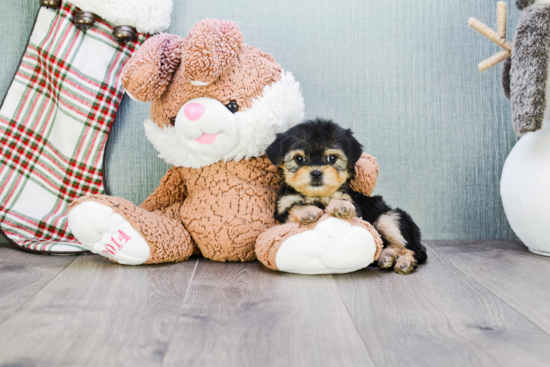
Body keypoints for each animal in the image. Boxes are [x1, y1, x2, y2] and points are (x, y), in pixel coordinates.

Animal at [266, 119, 430, 274]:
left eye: (332, 158)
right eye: (299, 159)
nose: (316, 172)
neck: (318, 194)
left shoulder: (354, 205)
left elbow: (343, 200)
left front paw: (341, 206)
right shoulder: (283, 208)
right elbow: (296, 206)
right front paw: (308, 211)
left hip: (388, 218)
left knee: (413, 250)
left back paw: (404, 262)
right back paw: (387, 256)